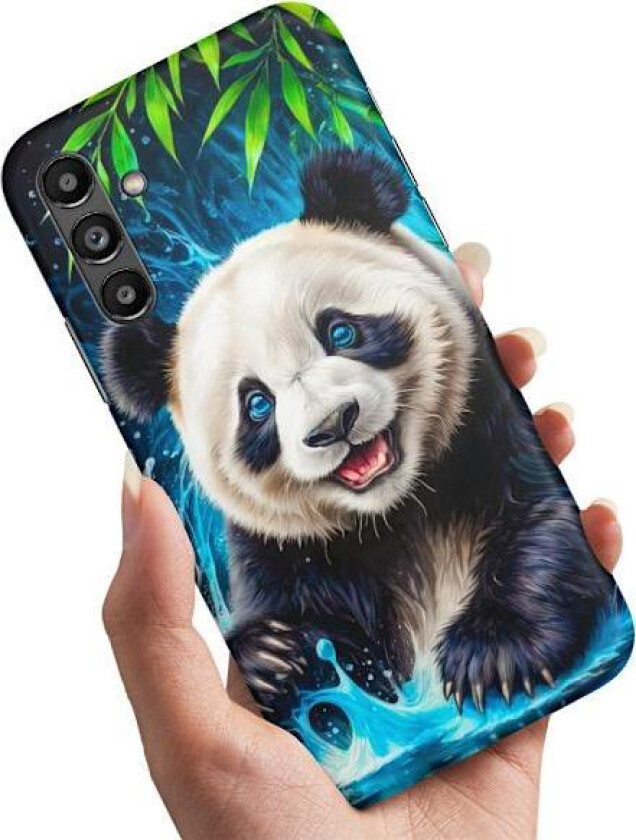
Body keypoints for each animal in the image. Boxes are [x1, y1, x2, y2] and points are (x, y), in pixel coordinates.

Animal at [102, 148, 612, 720]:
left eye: (341, 331)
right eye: (257, 404)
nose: (332, 424)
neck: (399, 511)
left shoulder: (485, 418)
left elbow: (538, 519)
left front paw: (493, 653)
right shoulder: (282, 545)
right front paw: (275, 655)